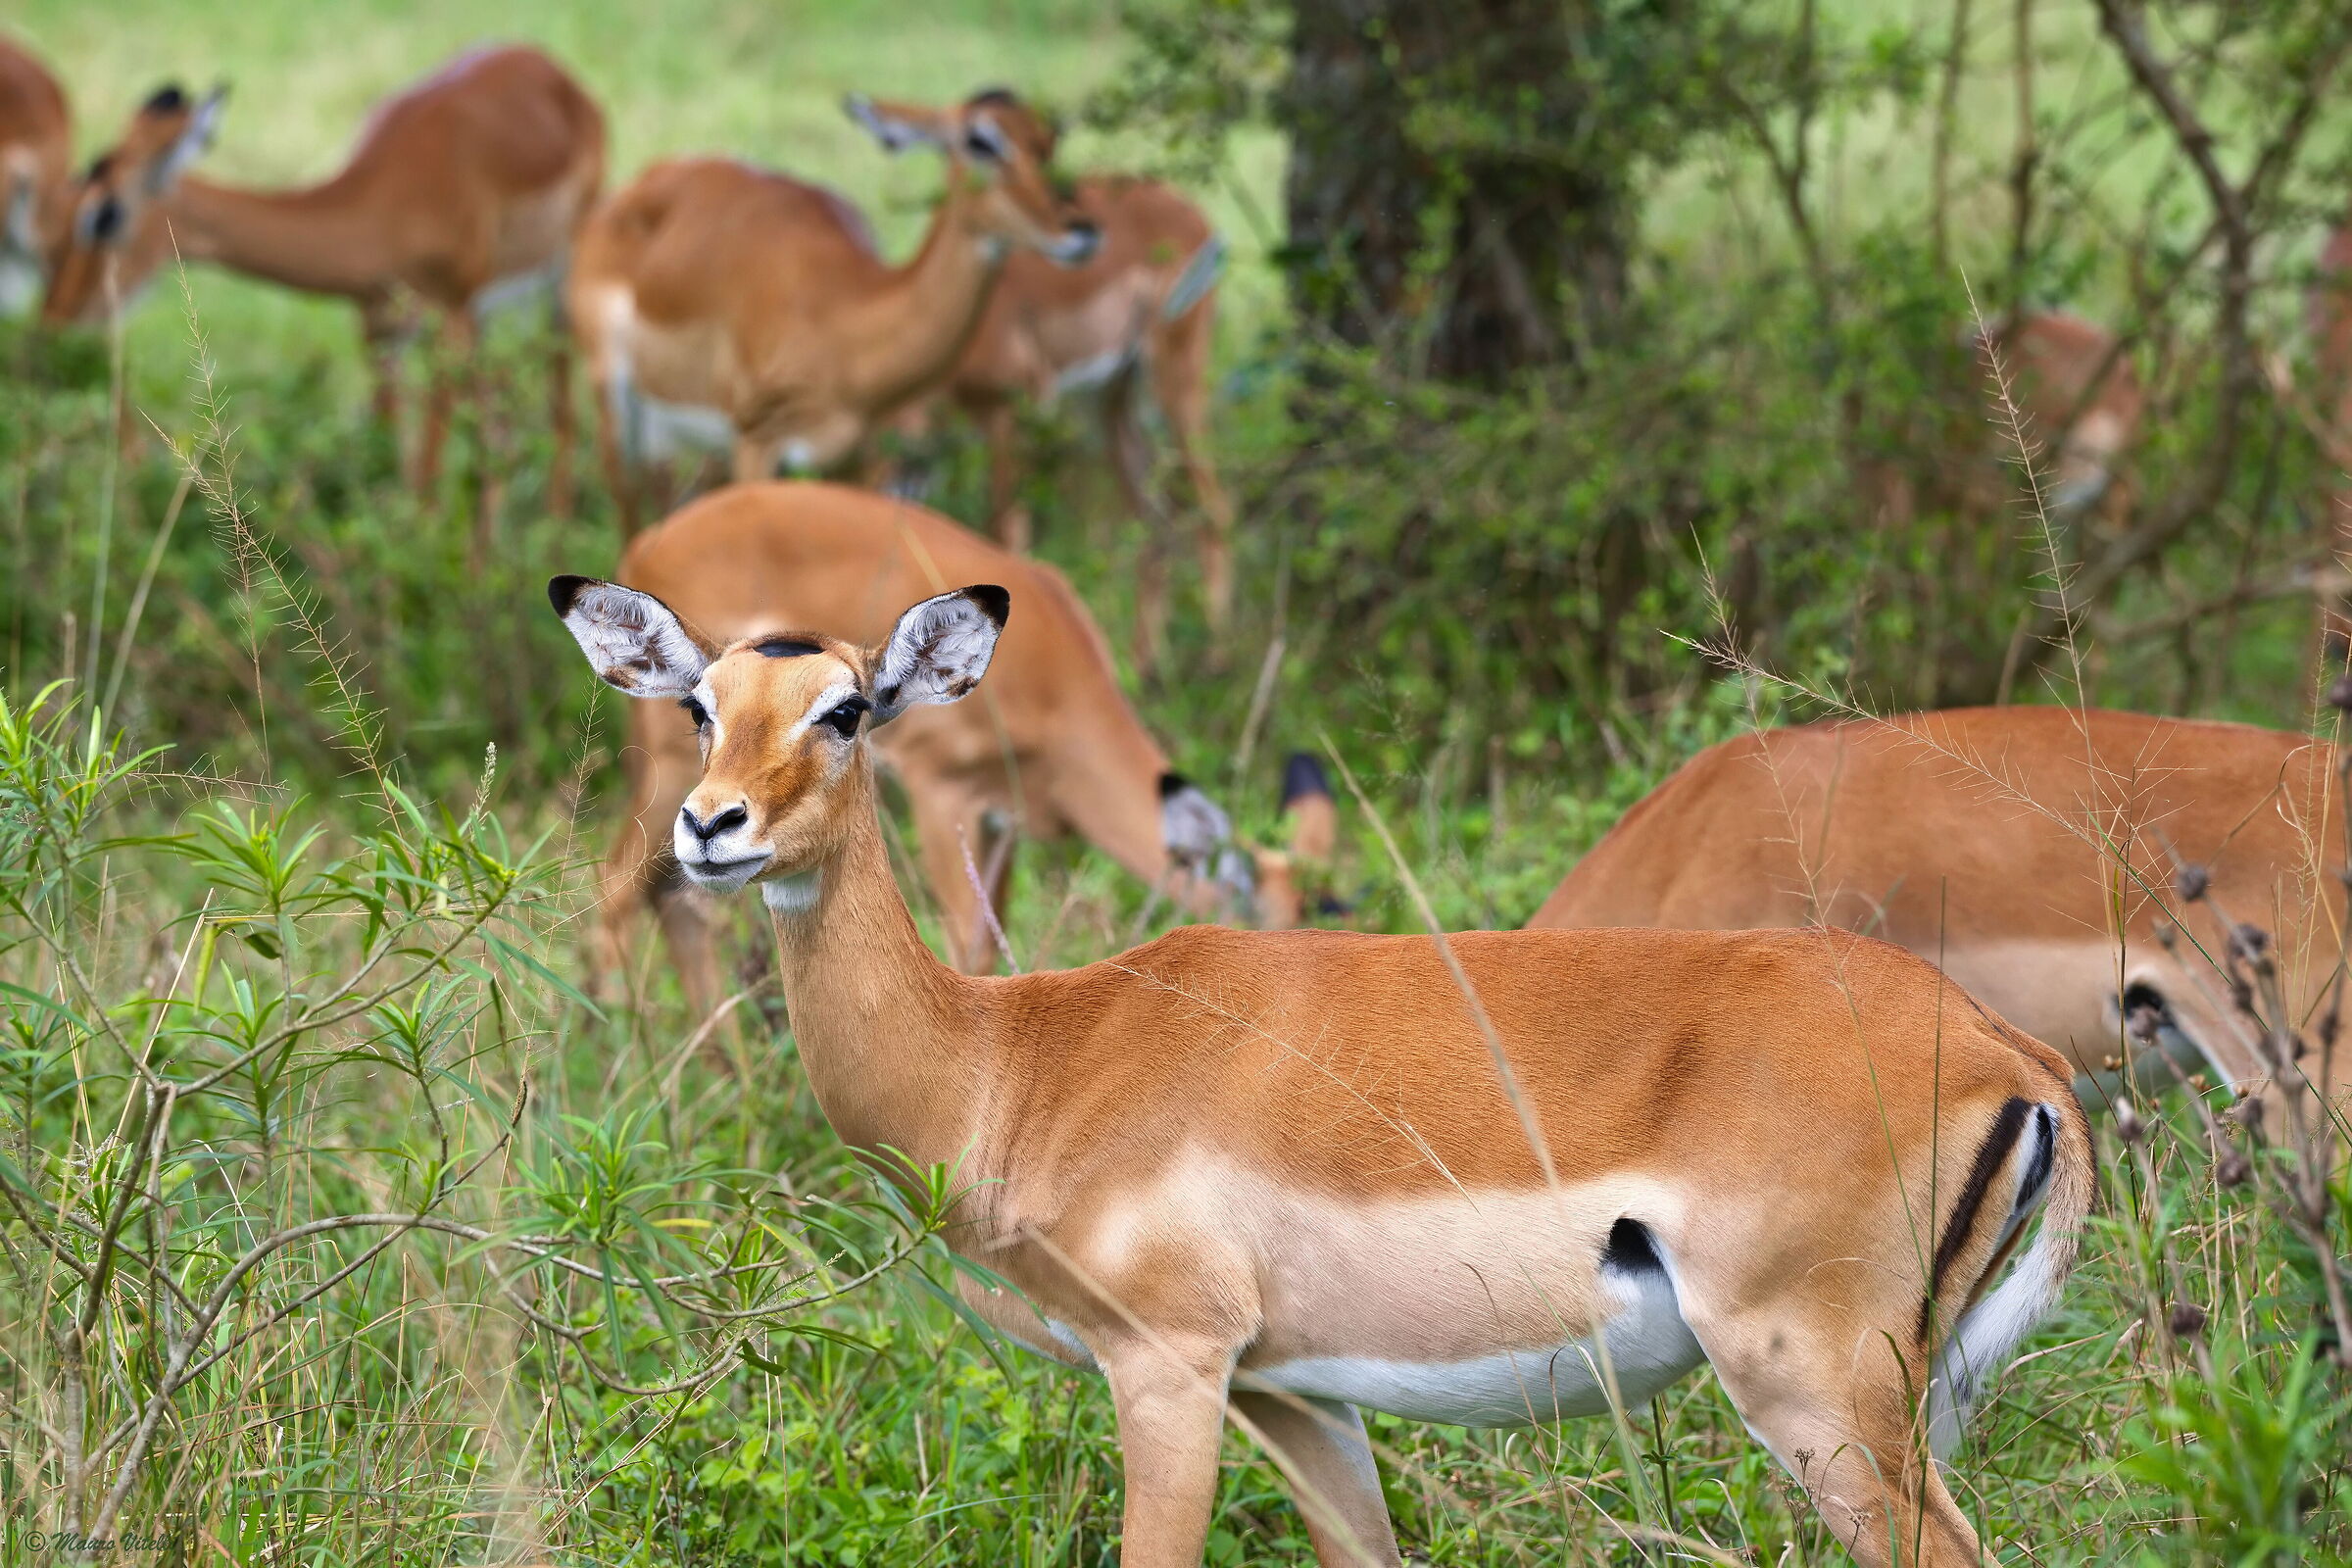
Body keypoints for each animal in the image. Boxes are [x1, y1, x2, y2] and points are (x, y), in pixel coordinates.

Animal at [43, 49, 606, 503]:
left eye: (105, 215)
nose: (57, 316)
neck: (384, 202)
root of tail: (548, 66)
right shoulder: (379, 328)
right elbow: (394, 460)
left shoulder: (452, 316)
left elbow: (426, 476)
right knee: (497, 434)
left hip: (555, 289)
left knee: (560, 419)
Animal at [551, 570, 2093, 1568]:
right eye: (699, 704)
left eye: (848, 708)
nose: (711, 828)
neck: (1020, 1056)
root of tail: (2007, 1053)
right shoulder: (1297, 1396)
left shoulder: (1167, 1365)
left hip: (1818, 1395)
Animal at [567, 92, 1098, 535]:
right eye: (980, 141)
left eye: (1049, 140)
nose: (1082, 228)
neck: (846, 318)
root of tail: (639, 184)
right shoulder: (757, 444)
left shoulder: (857, 460)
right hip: (621, 414)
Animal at [597, 480, 1261, 1004]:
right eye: (698, 706)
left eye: (847, 711)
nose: (713, 825)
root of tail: (646, 542)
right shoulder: (940, 790)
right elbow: (967, 938)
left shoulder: (1001, 819)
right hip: (668, 776)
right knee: (615, 893)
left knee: (670, 900)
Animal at [851, 89, 1235, 664]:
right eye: (979, 140)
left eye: (1047, 142)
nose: (1079, 228)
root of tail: (1191, 211)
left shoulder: (1014, 413)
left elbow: (1005, 534)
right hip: (1113, 401)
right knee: (1156, 513)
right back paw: (1145, 664)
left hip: (1176, 379)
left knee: (1214, 505)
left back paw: (1215, 658)